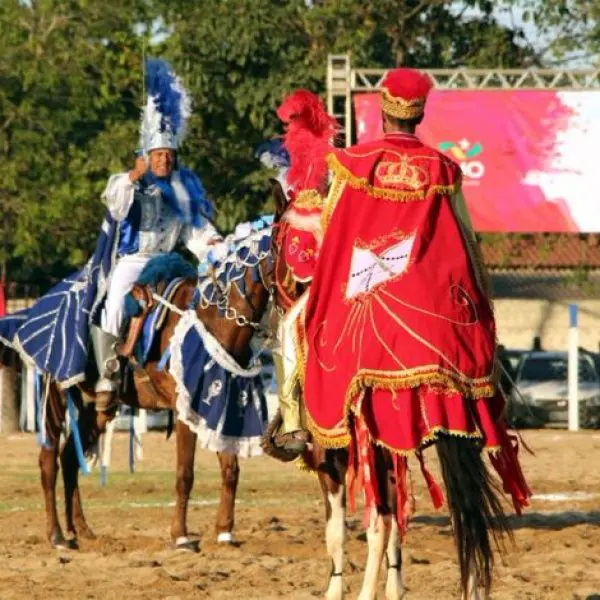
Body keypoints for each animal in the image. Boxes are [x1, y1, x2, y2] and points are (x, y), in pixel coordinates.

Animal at [22, 232, 274, 552]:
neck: (214, 320)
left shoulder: (222, 406)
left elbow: (231, 469)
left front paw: (225, 533)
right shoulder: (184, 410)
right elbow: (185, 473)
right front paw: (181, 536)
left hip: (96, 408)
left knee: (68, 459)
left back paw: (81, 531)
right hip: (53, 395)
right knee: (48, 461)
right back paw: (56, 535)